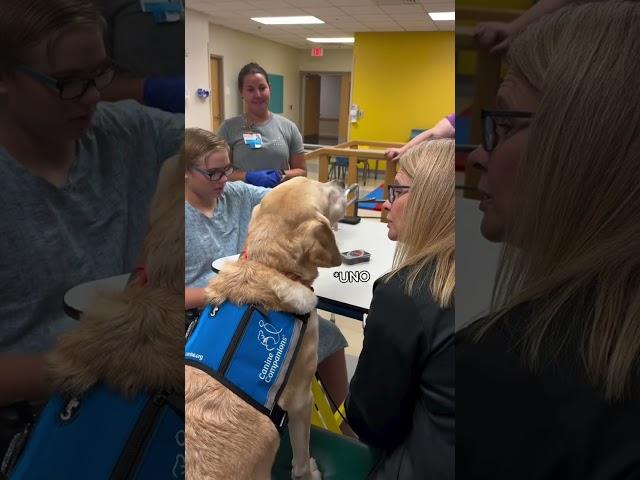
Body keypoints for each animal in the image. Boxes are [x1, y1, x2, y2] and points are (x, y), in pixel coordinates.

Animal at [185, 177, 344, 480]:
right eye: (325, 190)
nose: (340, 181)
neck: (269, 266)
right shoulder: (301, 399)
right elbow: (301, 458)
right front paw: (309, 474)